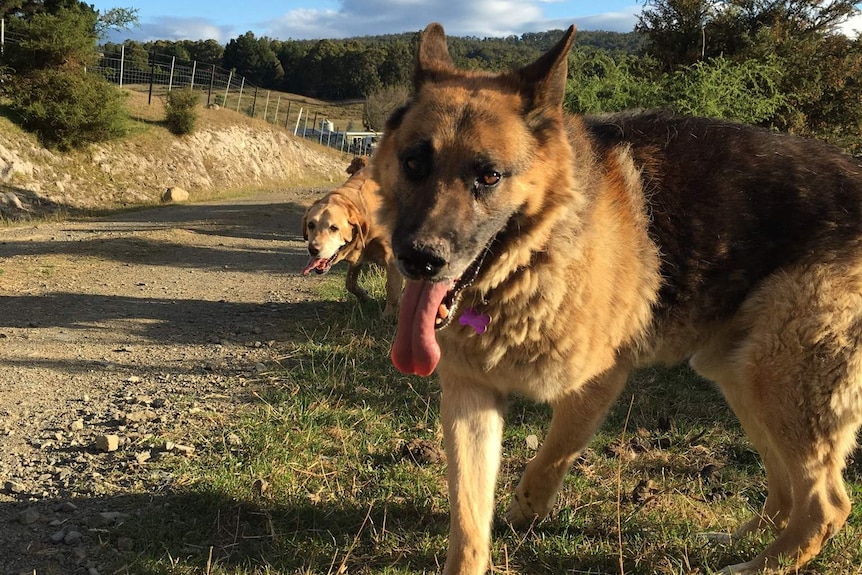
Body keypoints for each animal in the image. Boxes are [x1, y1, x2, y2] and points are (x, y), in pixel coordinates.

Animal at [374, 22, 862, 575]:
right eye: (414, 163)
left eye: (489, 176)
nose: (419, 259)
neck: (535, 259)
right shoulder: (469, 395)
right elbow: (469, 516)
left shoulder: (598, 381)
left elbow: (551, 457)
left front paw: (526, 510)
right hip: (742, 375)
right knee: (785, 489)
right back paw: (743, 539)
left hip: (778, 381)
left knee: (827, 504)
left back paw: (758, 564)